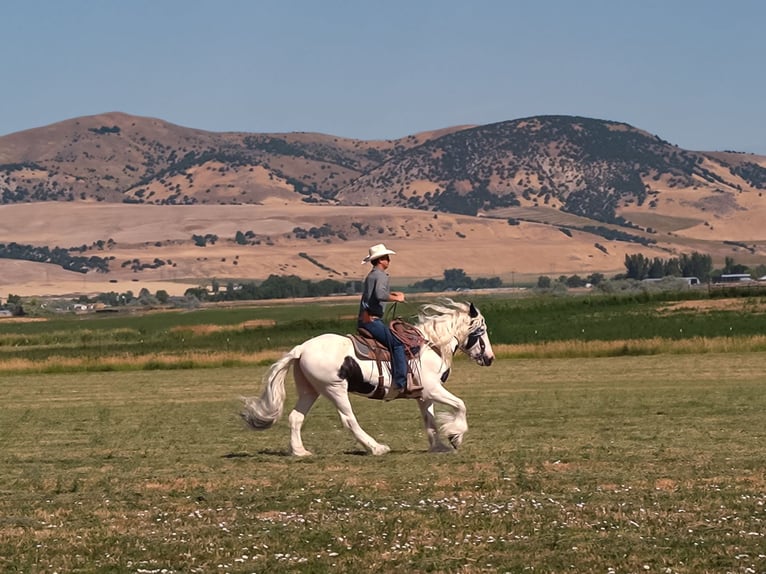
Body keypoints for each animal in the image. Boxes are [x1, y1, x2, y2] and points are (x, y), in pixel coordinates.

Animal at [241, 299, 495, 456]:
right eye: (481, 331)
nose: (490, 358)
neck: (431, 346)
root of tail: (301, 348)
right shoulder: (433, 389)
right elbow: (460, 405)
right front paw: (455, 436)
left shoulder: (424, 395)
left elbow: (429, 420)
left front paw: (439, 446)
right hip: (334, 389)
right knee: (349, 420)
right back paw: (376, 448)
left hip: (310, 390)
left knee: (295, 418)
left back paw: (300, 451)